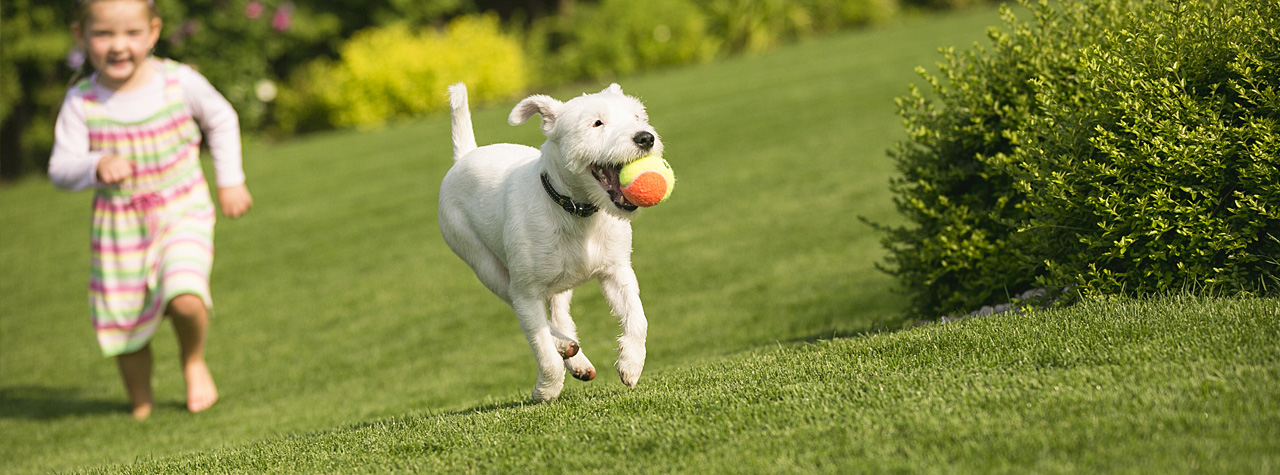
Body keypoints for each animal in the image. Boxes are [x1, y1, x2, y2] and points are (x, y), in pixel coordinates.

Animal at [437, 82, 660, 402]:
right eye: (597, 123)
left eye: (637, 116)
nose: (645, 137)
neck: (576, 210)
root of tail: (465, 156)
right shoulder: (525, 293)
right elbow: (540, 344)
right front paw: (547, 389)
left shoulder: (617, 271)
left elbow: (637, 318)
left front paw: (631, 363)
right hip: (484, 265)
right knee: (528, 312)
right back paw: (564, 347)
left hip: (558, 279)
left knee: (560, 313)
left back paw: (576, 359)